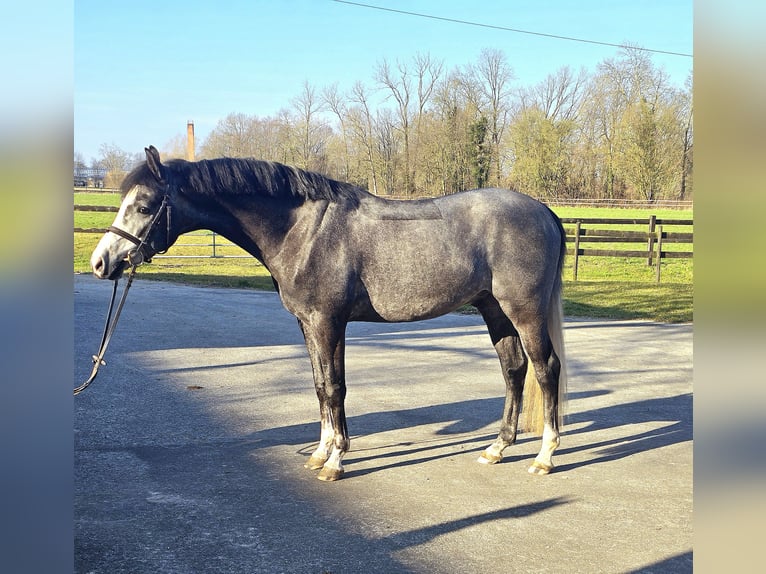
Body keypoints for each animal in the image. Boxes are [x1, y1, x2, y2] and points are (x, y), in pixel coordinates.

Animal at [91, 147, 568, 482]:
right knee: (513, 370)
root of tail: (543, 211)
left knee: (546, 369)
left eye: (145, 206)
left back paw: (545, 456)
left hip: (523, 311)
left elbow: (336, 388)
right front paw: (321, 452)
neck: (303, 231)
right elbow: (321, 386)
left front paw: (336, 460)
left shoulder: (326, 322)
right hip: (494, 310)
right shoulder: (308, 325)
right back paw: (496, 448)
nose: (101, 263)